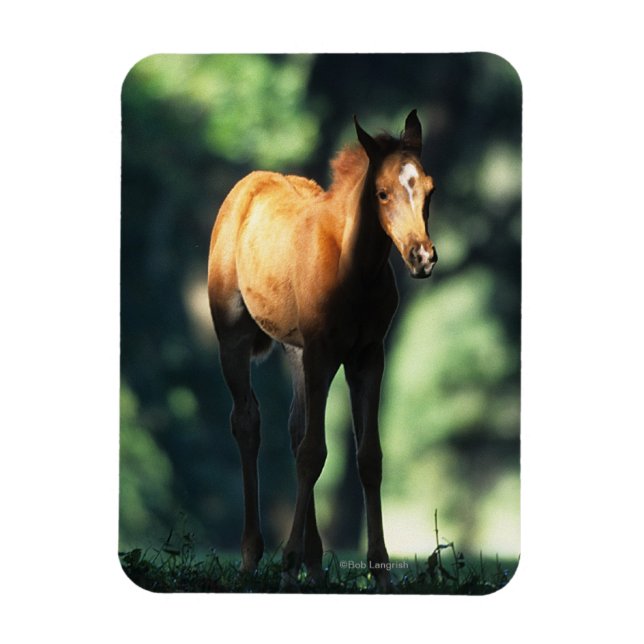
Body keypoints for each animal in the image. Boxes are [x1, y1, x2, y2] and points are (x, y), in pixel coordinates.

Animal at [207, 110, 437, 590]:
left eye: (429, 188)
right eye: (382, 192)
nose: (422, 257)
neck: (356, 271)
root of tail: (246, 186)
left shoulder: (368, 356)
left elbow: (367, 456)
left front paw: (379, 573)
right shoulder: (322, 352)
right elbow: (314, 453)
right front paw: (287, 561)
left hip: (296, 351)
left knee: (296, 430)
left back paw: (313, 566)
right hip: (234, 339)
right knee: (248, 422)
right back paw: (254, 557)